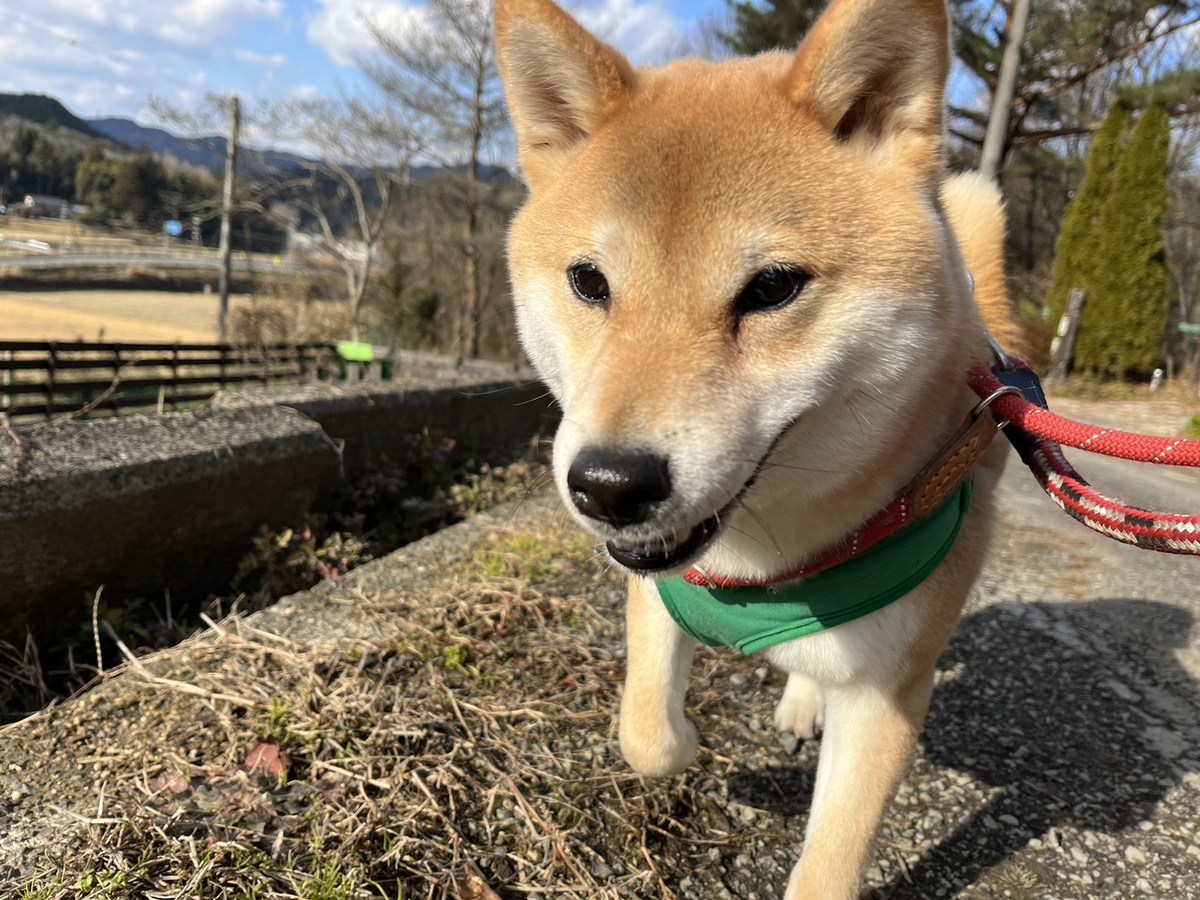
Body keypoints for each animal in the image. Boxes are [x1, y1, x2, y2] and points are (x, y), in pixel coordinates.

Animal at [494, 0, 1022, 897]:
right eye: (589, 283)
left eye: (772, 288)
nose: (609, 484)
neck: (764, 561)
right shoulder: (657, 589)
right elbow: (646, 736)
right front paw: (688, 745)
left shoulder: (889, 687)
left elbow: (833, 857)